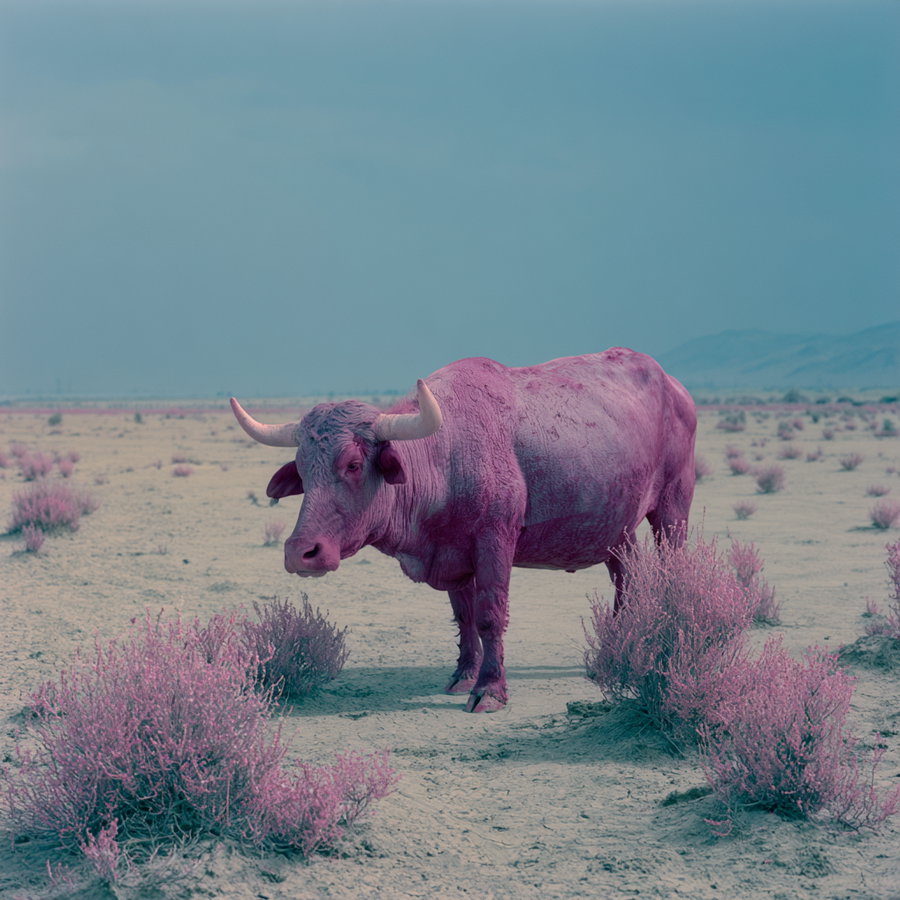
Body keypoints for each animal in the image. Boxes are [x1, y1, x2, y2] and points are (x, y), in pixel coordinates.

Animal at [230, 348, 696, 712]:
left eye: (353, 463)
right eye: (303, 469)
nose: (301, 551)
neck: (447, 456)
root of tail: (673, 387)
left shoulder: (495, 542)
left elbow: (490, 615)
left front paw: (490, 688)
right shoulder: (453, 557)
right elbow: (465, 617)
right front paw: (464, 675)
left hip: (673, 509)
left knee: (672, 569)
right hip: (618, 530)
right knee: (626, 577)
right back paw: (614, 648)